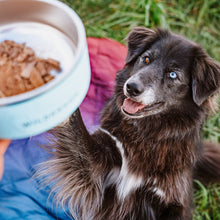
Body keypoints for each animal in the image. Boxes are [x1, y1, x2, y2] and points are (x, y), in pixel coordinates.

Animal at [40, 27, 220, 220]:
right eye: (146, 59)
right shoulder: (95, 165)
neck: (147, 136)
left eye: (173, 74)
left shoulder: (174, 202)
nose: (132, 87)